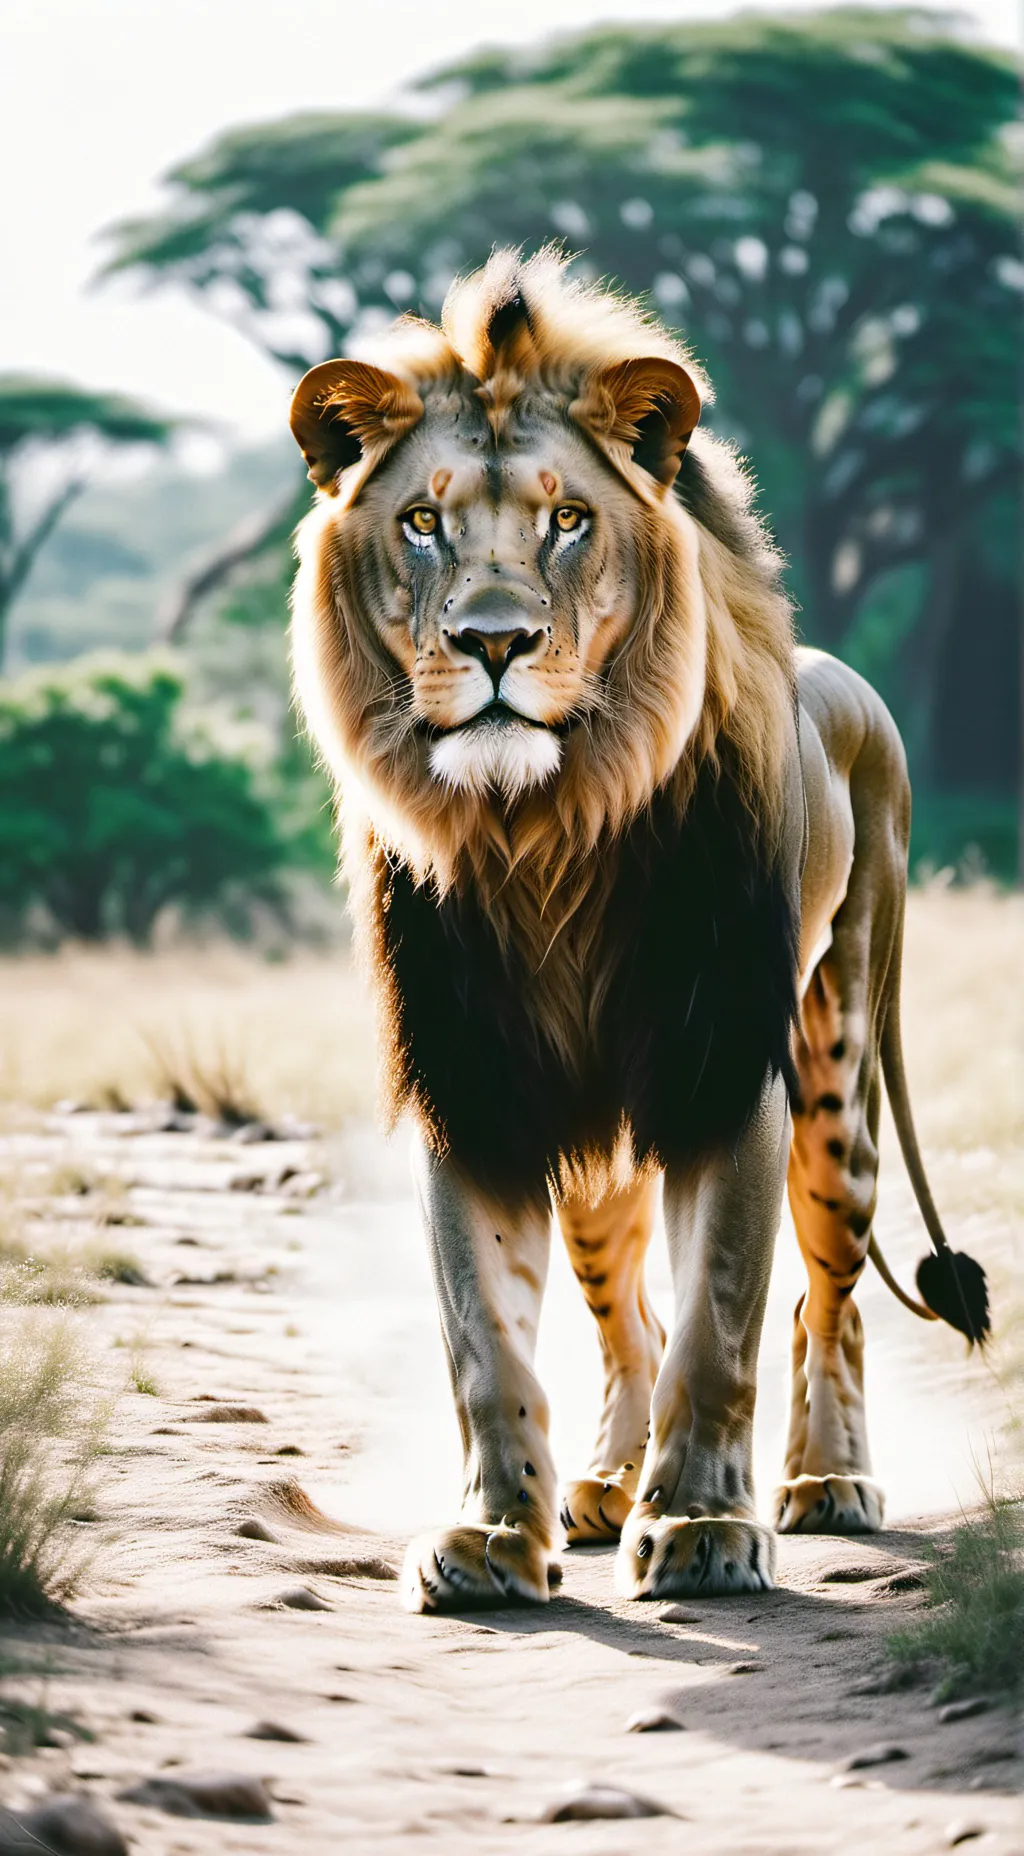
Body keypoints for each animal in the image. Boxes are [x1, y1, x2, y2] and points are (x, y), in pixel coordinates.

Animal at [288, 248, 989, 1611]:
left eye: (567, 520)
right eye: (421, 523)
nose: (492, 640)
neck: (545, 831)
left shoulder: (722, 1066)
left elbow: (719, 1318)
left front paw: (707, 1525)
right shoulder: (473, 1076)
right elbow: (488, 1339)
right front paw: (495, 1532)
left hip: (837, 1070)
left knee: (827, 1297)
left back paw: (828, 1480)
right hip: (594, 1143)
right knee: (624, 1316)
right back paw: (604, 1485)